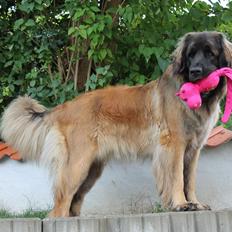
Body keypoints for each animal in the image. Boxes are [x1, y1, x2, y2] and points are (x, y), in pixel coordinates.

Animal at [0, 31, 231, 218]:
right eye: (190, 54)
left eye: (210, 53)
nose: (195, 72)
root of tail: (64, 107)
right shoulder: (174, 145)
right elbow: (177, 178)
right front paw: (181, 204)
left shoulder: (194, 149)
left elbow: (189, 180)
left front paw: (195, 203)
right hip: (77, 165)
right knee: (59, 205)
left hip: (91, 170)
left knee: (73, 202)